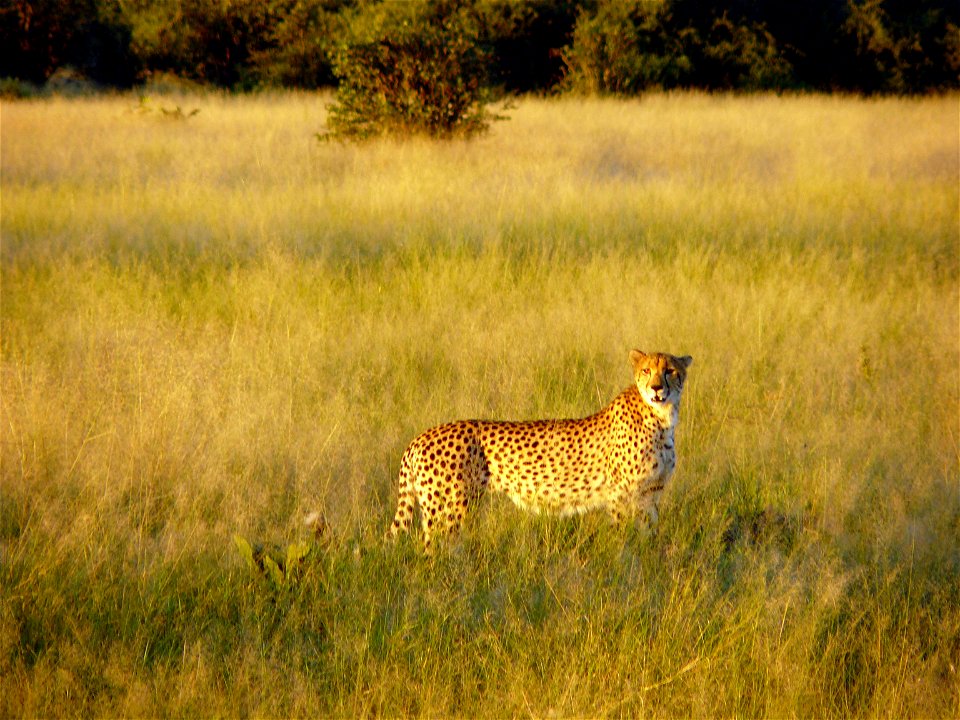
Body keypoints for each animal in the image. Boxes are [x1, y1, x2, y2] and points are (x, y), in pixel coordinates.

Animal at [386, 352, 692, 556]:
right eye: (646, 370)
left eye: (670, 371)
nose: (656, 388)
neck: (661, 418)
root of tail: (419, 438)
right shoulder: (620, 496)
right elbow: (622, 538)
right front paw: (623, 566)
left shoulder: (650, 495)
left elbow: (648, 535)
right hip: (448, 508)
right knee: (432, 550)